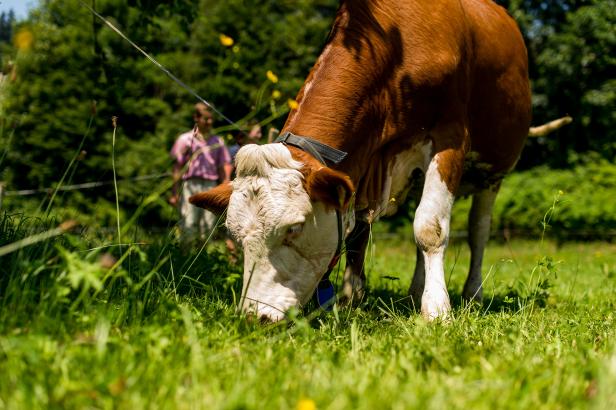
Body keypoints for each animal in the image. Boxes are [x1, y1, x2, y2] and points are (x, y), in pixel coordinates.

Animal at [190, 0, 532, 322]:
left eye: (294, 228)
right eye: (236, 236)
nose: (255, 316)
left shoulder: (449, 136)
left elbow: (429, 228)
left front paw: (436, 309)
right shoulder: (363, 164)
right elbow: (358, 232)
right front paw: (350, 301)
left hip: (492, 174)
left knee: (478, 232)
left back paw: (472, 293)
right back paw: (414, 291)